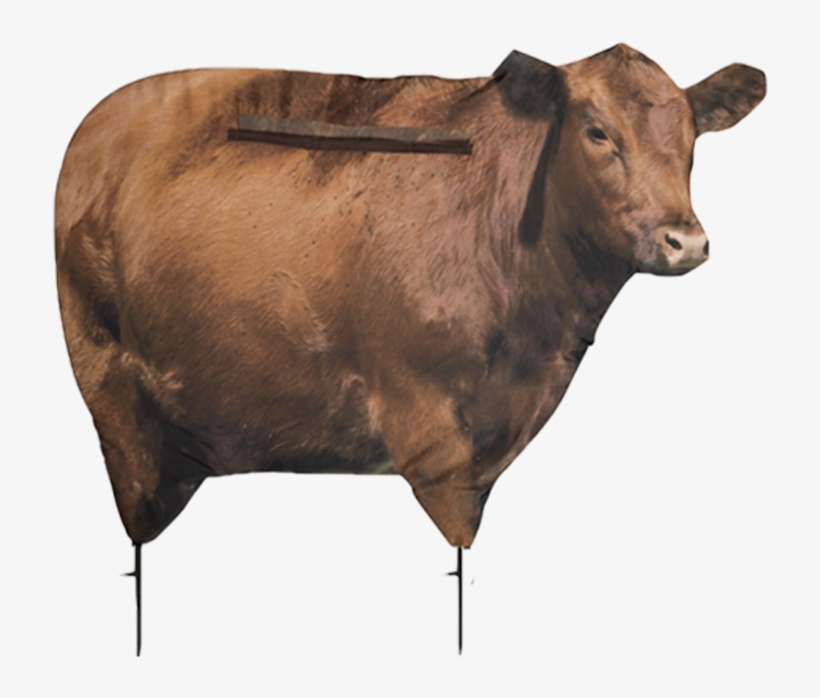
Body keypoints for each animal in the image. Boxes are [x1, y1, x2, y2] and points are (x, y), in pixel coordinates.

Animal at [56, 44, 764, 558]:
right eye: (597, 132)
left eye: (693, 138)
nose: (684, 240)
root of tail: (96, 121)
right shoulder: (419, 412)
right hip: (108, 382)